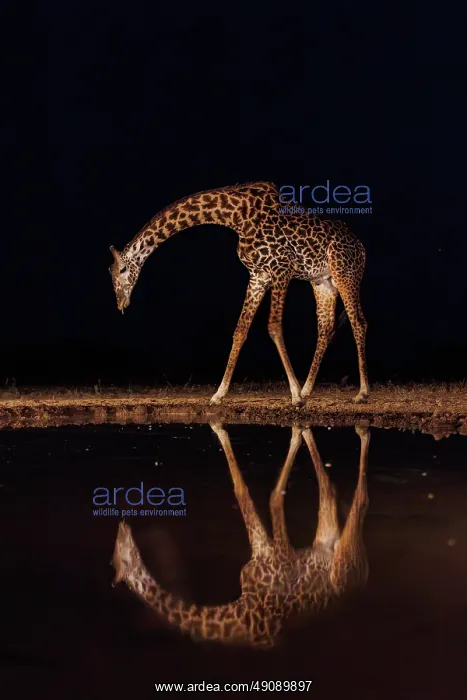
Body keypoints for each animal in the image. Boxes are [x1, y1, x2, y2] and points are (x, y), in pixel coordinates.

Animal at [109, 182, 369, 404]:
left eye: (121, 270)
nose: (121, 303)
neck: (236, 217)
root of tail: (361, 247)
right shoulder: (258, 276)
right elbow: (240, 330)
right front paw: (218, 394)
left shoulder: (281, 269)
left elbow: (274, 326)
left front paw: (295, 396)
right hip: (322, 282)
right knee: (325, 329)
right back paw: (308, 389)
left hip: (345, 274)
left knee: (358, 322)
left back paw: (361, 393)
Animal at [112, 423, 370, 648]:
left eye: (117, 555)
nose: (122, 526)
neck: (237, 616)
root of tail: (363, 577)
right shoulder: (264, 551)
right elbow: (245, 491)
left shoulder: (281, 560)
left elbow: (266, 496)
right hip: (326, 538)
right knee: (328, 490)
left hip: (344, 567)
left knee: (361, 500)